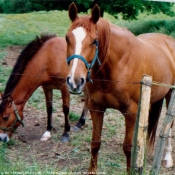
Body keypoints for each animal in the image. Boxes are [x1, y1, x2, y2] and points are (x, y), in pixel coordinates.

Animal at [65, 2, 175, 174]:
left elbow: (128, 147)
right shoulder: (96, 109)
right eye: (67, 38)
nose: (74, 81)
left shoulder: (130, 112)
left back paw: (168, 158)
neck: (117, 66)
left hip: (170, 94)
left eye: (94, 41)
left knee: (169, 126)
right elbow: (95, 144)